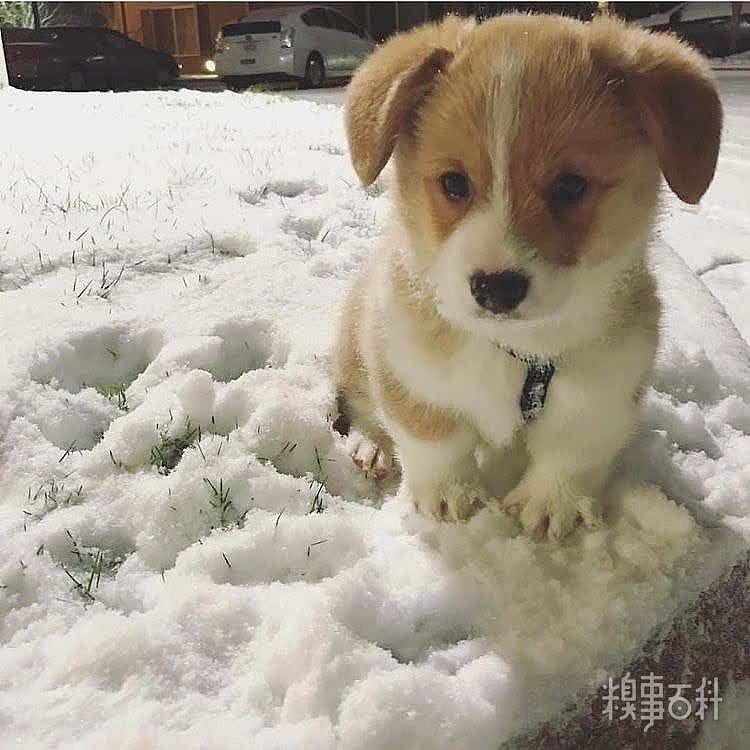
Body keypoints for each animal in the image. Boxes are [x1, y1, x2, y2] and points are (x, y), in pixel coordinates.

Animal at [334, 13, 724, 540]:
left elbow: (572, 450)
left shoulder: (604, 387)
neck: (521, 352)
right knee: (361, 404)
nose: (495, 288)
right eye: (453, 182)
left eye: (571, 186)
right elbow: (434, 436)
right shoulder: (410, 367)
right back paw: (371, 446)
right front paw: (448, 496)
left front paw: (551, 503)